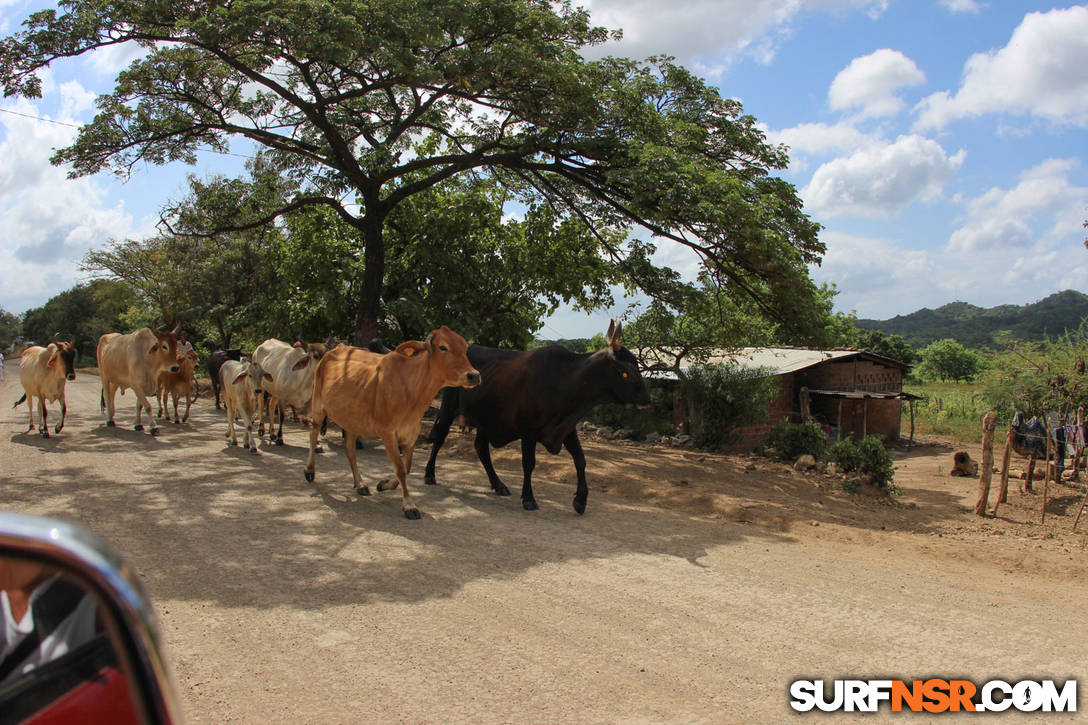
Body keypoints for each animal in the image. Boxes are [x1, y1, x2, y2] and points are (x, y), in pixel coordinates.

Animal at [302, 326, 480, 520]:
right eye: (443, 347)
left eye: (464, 347)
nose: (474, 375)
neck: (412, 392)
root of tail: (335, 350)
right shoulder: (387, 433)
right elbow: (400, 468)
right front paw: (409, 505)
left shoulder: (410, 435)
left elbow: (407, 467)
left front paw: (384, 484)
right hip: (318, 406)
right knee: (313, 435)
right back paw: (310, 471)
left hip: (352, 420)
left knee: (350, 451)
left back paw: (361, 484)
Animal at [422, 320, 644, 511]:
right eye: (626, 372)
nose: (647, 398)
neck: (567, 380)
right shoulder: (528, 430)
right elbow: (528, 463)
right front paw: (529, 498)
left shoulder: (566, 428)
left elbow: (580, 460)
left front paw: (581, 500)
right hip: (449, 407)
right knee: (440, 437)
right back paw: (429, 475)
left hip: (486, 418)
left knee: (481, 449)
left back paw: (498, 485)